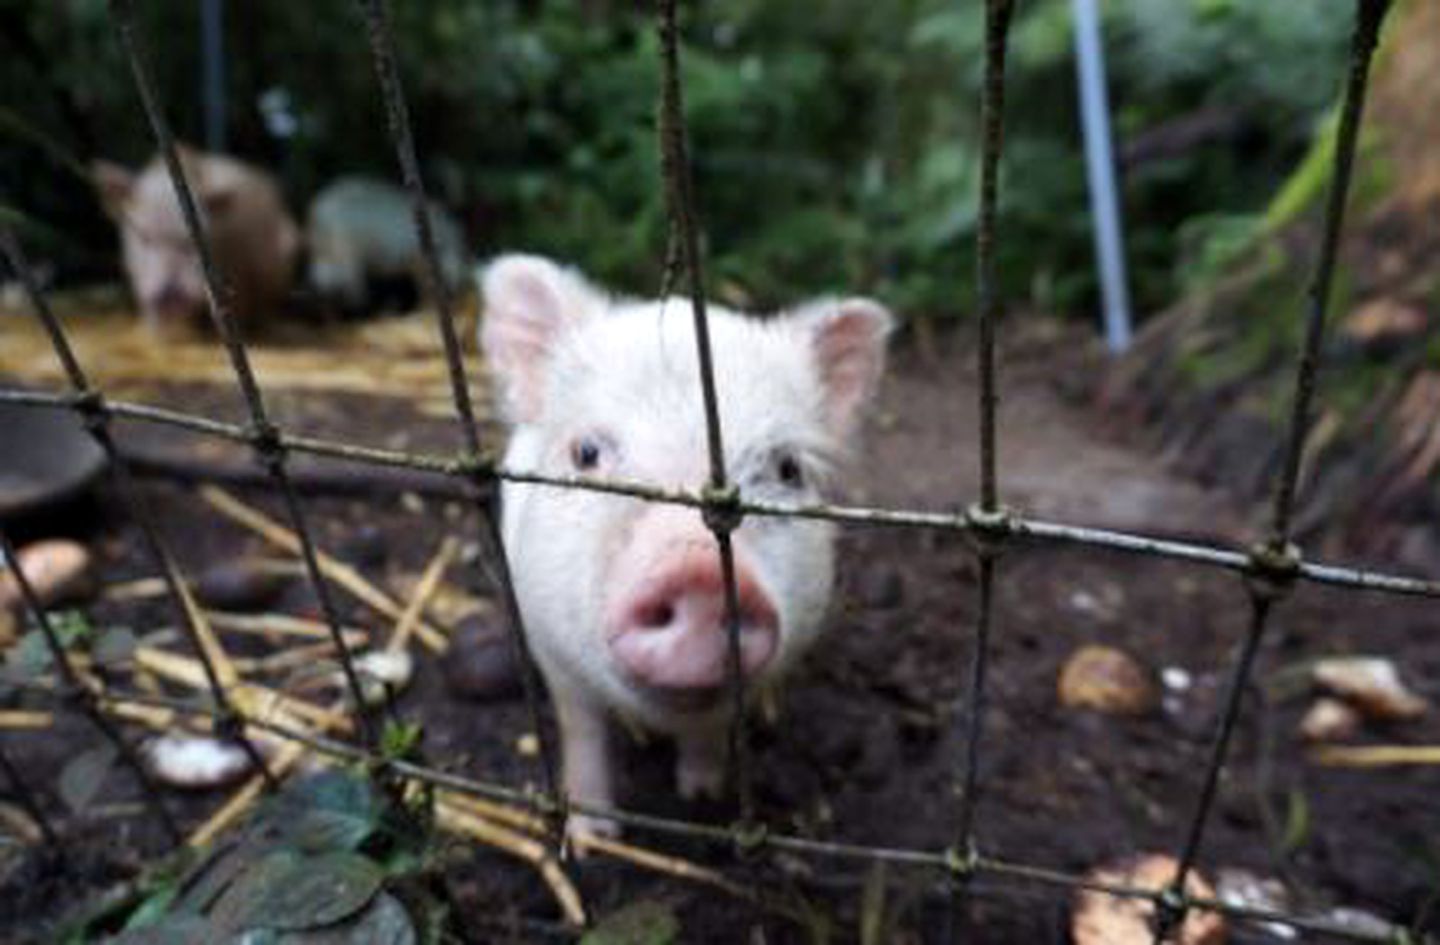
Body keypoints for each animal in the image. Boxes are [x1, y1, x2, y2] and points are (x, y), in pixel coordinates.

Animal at [480, 253, 887, 841]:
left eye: (787, 469)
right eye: (586, 453)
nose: (699, 574)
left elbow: (710, 731)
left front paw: (702, 795)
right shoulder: (548, 646)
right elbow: (582, 729)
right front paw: (592, 837)